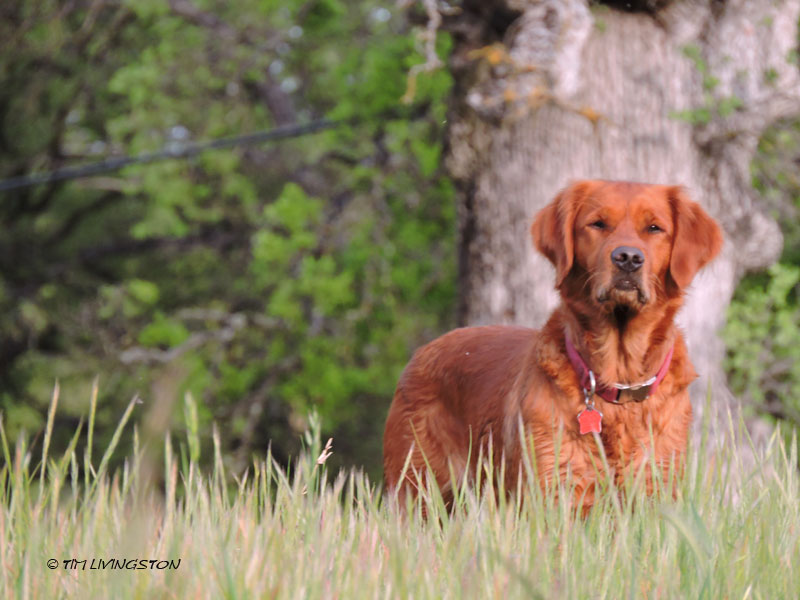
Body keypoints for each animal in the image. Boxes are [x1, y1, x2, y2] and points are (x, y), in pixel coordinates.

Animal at [383, 180, 722, 512]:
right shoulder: (554, 490)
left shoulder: (656, 488)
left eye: (654, 228)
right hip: (417, 489)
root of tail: (422, 352)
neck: (618, 379)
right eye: (598, 224)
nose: (628, 258)